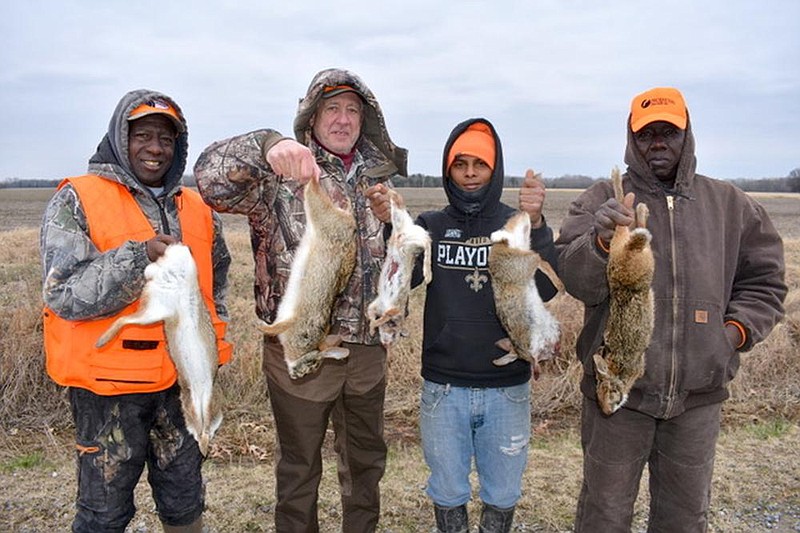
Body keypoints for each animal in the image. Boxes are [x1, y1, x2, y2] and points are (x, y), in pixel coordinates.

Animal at [258, 176, 358, 378]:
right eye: (310, 364)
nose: (295, 376)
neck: (308, 345)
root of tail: (351, 228)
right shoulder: (290, 323)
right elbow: (274, 328)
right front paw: (261, 326)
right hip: (320, 213)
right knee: (314, 189)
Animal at [368, 198, 432, 344]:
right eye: (394, 334)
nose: (387, 343)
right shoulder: (384, 308)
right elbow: (375, 318)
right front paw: (373, 328)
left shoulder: (380, 307)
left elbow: (374, 317)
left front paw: (372, 329)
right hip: (411, 237)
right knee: (428, 242)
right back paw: (428, 274)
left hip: (409, 236)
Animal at [592, 168, 656, 414]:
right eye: (596, 395)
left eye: (610, 391)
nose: (606, 412)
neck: (618, 371)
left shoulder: (637, 367)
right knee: (630, 227)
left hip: (644, 260)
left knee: (628, 227)